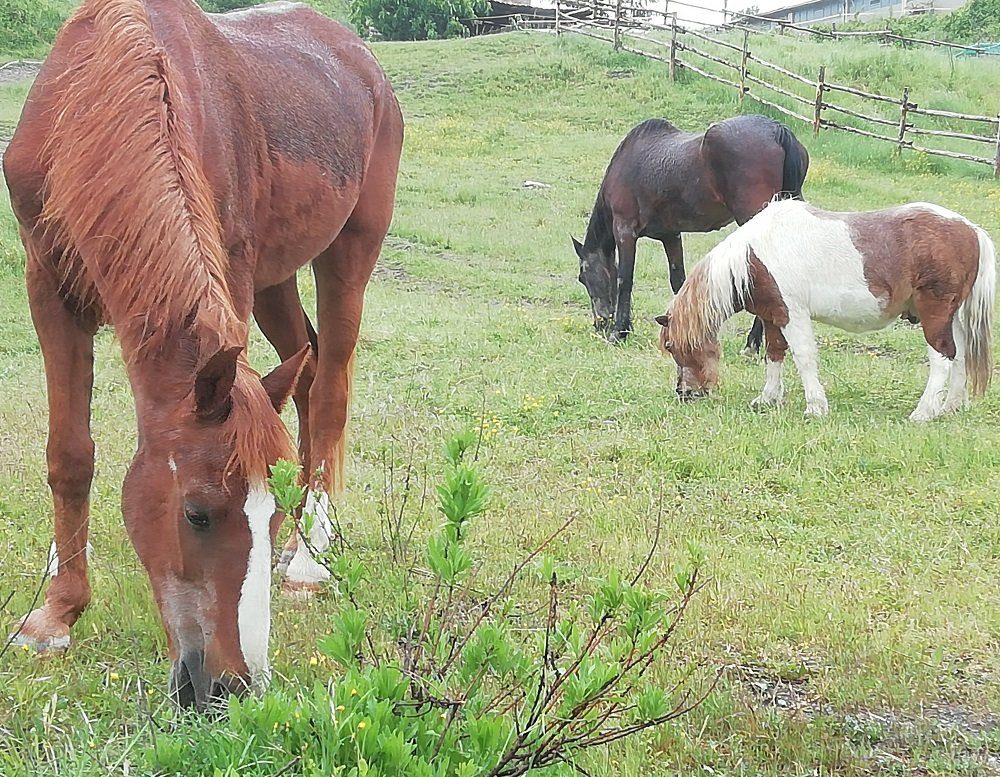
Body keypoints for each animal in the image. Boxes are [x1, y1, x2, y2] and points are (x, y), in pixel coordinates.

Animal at [3, 0, 403, 709]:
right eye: (198, 514)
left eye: (265, 513)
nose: (232, 687)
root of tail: (359, 56)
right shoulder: (49, 287)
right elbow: (69, 456)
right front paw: (54, 612)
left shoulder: (230, 273)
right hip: (277, 279)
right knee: (305, 371)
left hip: (349, 253)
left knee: (330, 387)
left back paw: (310, 554)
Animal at [572, 115, 809, 349]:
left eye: (583, 277)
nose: (600, 324)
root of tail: (777, 130)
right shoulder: (671, 236)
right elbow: (679, 281)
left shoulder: (625, 231)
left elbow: (625, 280)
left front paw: (619, 332)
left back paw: (752, 344)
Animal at [655, 199, 996, 422]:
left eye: (671, 346)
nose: (684, 393)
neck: (754, 257)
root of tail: (972, 230)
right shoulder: (773, 316)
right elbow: (774, 355)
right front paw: (767, 399)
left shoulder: (793, 314)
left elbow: (804, 358)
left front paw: (815, 406)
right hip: (953, 318)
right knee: (960, 357)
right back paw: (949, 407)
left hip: (934, 315)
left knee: (942, 358)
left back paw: (924, 412)